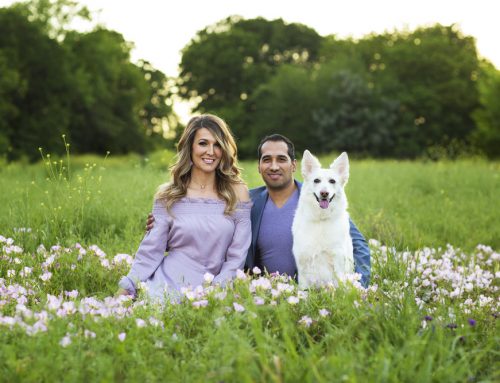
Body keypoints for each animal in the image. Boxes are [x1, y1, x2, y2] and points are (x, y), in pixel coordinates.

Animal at [292, 150, 356, 288]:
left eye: (332, 181)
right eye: (316, 180)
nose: (324, 193)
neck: (321, 219)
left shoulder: (338, 259)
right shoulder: (303, 261)